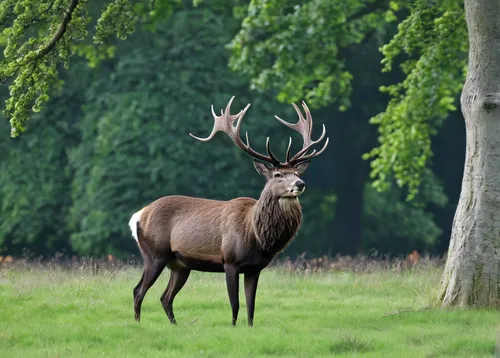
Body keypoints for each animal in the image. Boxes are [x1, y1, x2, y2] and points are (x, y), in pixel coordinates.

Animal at [129, 96, 328, 326]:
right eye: (277, 174)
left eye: (296, 172)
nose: (300, 183)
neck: (256, 235)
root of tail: (138, 215)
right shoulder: (230, 261)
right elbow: (235, 303)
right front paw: (233, 327)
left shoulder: (255, 268)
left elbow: (251, 306)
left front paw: (249, 328)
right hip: (154, 253)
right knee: (138, 290)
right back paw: (138, 323)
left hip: (179, 264)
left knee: (165, 297)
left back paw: (174, 325)